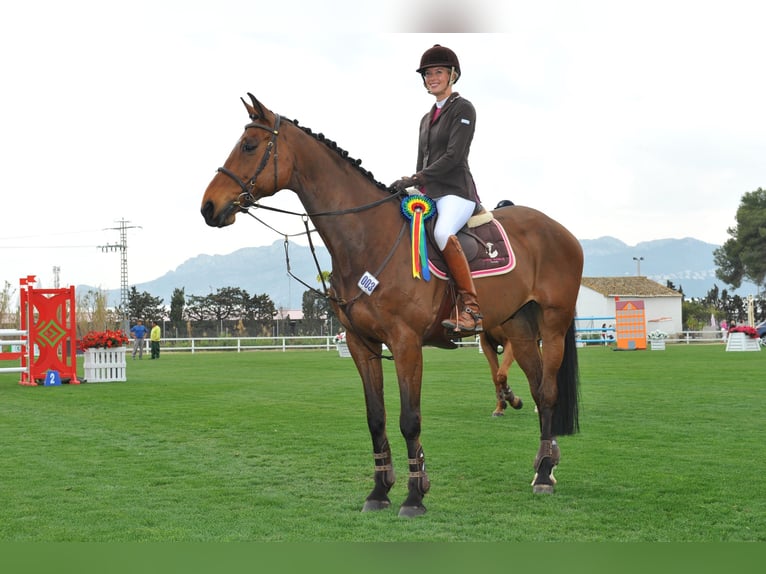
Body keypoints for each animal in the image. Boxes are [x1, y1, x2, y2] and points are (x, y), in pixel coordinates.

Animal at [201, 94, 584, 516]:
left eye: (249, 146)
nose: (208, 207)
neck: (369, 238)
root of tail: (560, 229)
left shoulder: (405, 343)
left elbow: (409, 419)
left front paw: (415, 495)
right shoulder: (361, 344)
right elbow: (376, 418)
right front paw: (379, 490)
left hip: (553, 325)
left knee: (548, 393)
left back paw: (545, 474)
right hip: (520, 327)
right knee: (538, 391)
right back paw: (543, 466)